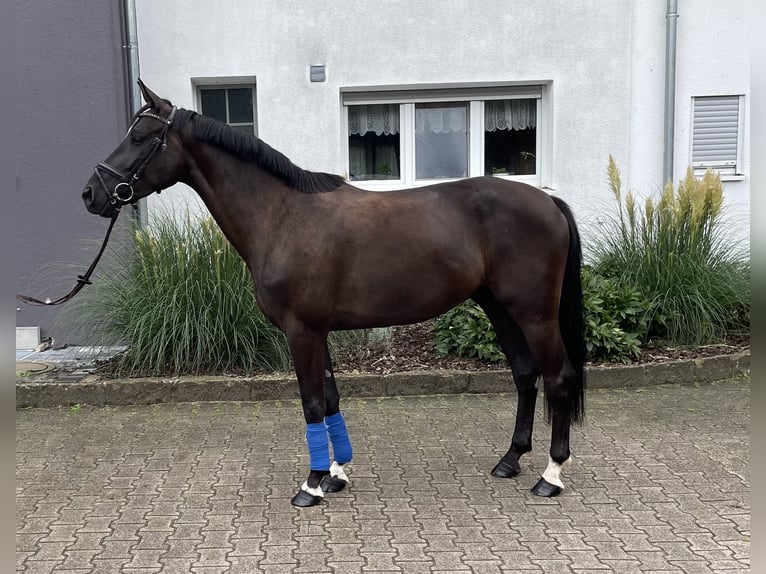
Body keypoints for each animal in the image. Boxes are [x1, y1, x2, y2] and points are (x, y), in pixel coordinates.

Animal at [82, 80, 588, 508]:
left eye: (141, 136)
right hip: (500, 308)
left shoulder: (301, 331)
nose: (91, 193)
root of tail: (547, 200)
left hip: (534, 314)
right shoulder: (317, 331)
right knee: (525, 375)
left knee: (558, 377)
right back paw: (510, 460)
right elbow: (329, 398)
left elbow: (310, 402)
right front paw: (336, 474)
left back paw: (551, 475)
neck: (280, 214)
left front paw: (310, 485)